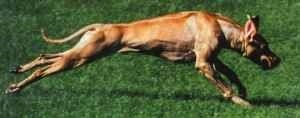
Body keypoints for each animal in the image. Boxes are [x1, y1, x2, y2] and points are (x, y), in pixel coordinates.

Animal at [5, 11, 280, 106]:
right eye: (264, 45)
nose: (278, 61)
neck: (220, 25)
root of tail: (101, 26)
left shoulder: (211, 59)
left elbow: (231, 73)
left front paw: (243, 91)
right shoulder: (203, 63)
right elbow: (225, 87)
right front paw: (241, 102)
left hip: (82, 51)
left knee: (45, 56)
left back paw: (18, 72)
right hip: (83, 56)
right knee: (44, 69)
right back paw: (17, 87)